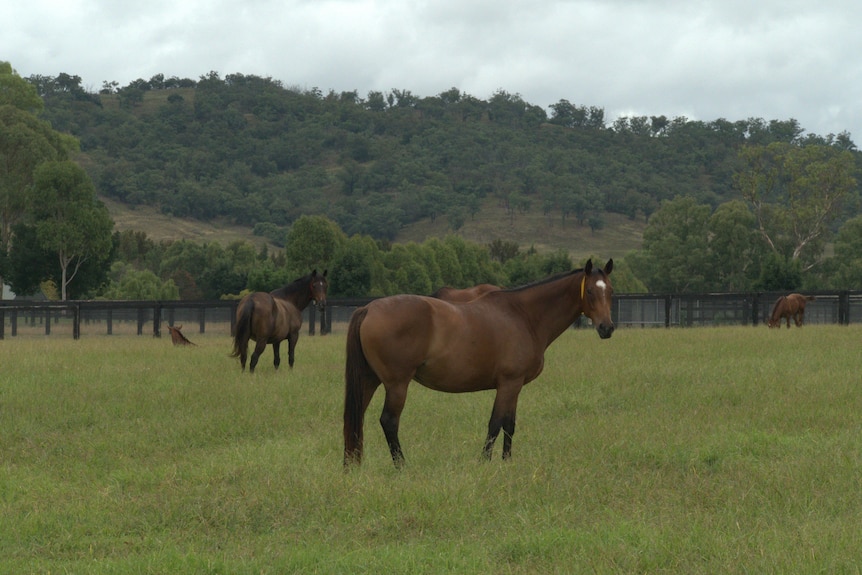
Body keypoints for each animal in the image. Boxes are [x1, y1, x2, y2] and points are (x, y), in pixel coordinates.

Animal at [344, 260, 616, 468]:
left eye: (610, 291)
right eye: (590, 292)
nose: (607, 328)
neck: (523, 315)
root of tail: (368, 308)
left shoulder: (514, 386)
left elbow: (509, 424)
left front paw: (507, 462)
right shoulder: (509, 383)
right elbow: (495, 424)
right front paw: (485, 462)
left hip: (369, 381)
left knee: (357, 417)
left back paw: (352, 465)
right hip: (397, 385)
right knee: (389, 421)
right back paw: (401, 466)